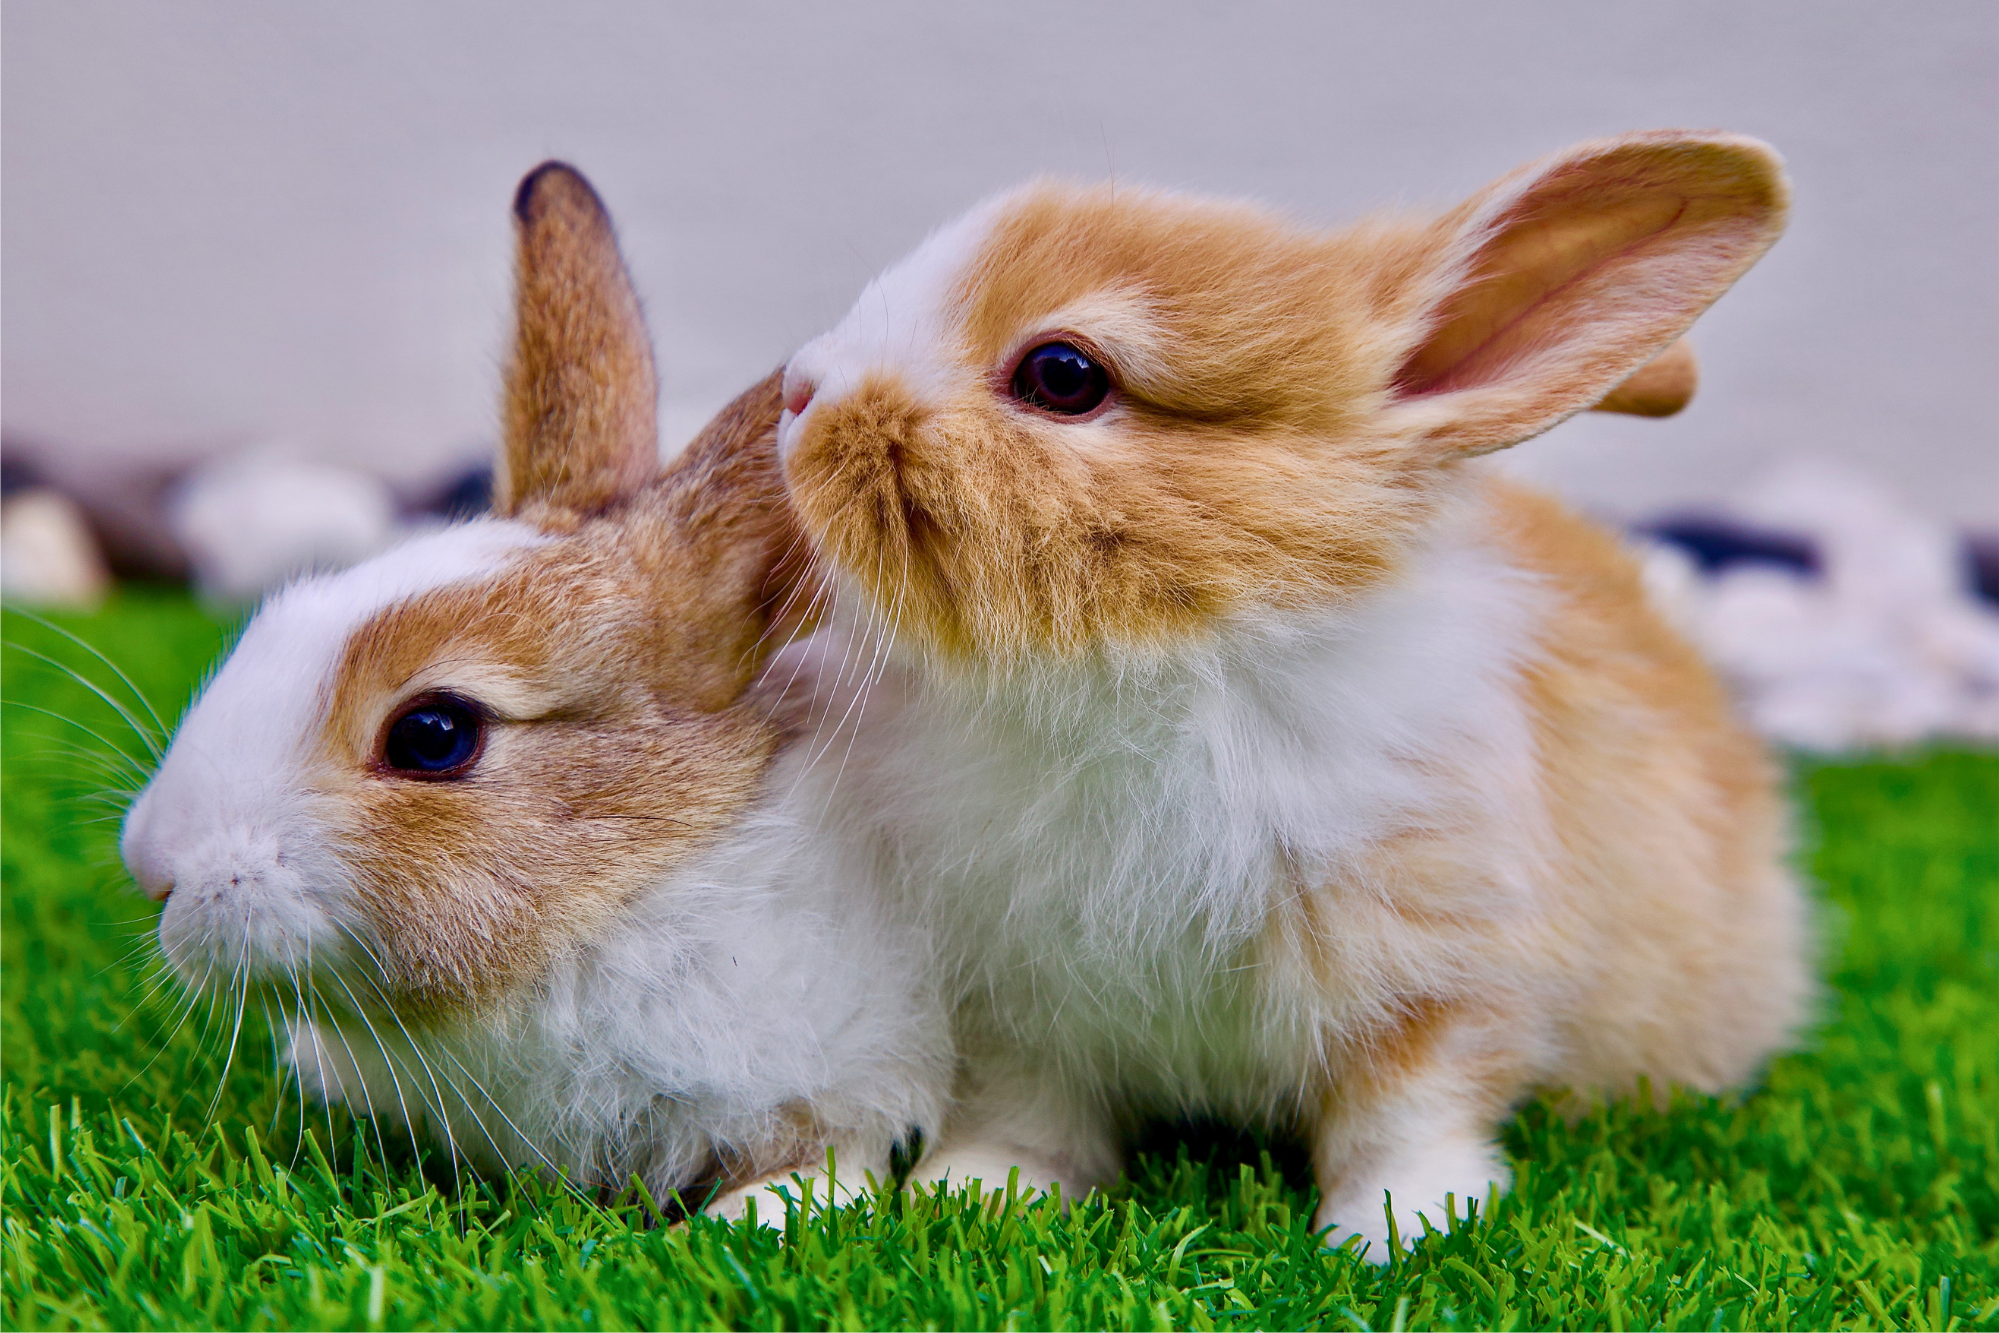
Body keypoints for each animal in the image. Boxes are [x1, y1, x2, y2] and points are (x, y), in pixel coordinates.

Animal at [119, 162, 950, 1221]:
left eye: (433, 733)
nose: (152, 864)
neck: (630, 896)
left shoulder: (863, 1077)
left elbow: (828, 1164)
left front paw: (747, 1222)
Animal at [765, 131, 1812, 1255]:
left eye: (1062, 375)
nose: (798, 390)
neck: (1157, 666)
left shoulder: (1434, 977)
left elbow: (1408, 1114)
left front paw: (1396, 1235)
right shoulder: (1015, 1004)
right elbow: (1031, 1114)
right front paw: (976, 1193)